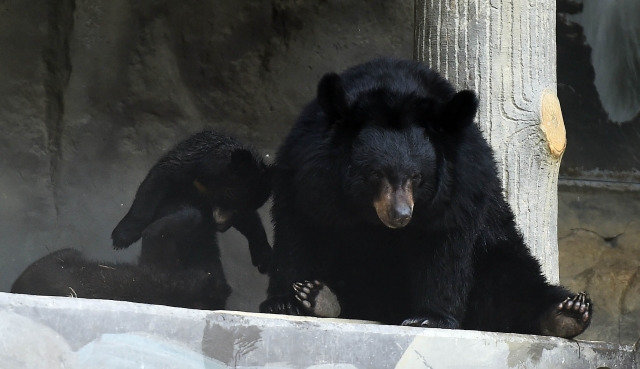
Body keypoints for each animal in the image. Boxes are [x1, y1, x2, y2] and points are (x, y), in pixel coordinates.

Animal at [111, 131, 272, 272]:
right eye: (229, 201)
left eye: (239, 209)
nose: (221, 226)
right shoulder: (187, 164)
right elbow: (155, 183)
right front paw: (121, 238)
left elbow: (251, 221)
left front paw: (264, 258)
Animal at [258, 56, 592, 336]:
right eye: (375, 175)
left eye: (417, 178)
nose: (400, 215)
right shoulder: (307, 172)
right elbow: (300, 229)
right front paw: (288, 299)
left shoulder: (460, 187)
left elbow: (443, 246)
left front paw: (429, 317)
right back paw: (323, 298)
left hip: (497, 244)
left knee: (513, 279)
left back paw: (568, 312)